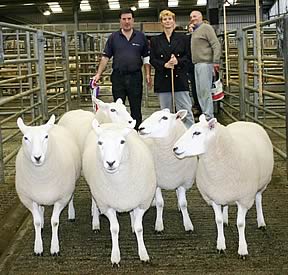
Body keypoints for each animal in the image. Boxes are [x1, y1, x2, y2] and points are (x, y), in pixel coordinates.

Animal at [15, 115, 81, 256]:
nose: (37, 157)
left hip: (71, 185)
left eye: (46, 137)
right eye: (25, 138)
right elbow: (36, 222)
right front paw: (38, 247)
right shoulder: (29, 199)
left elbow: (55, 222)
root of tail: (53, 125)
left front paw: (54, 248)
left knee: (71, 197)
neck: (41, 178)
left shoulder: (61, 198)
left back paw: (71, 214)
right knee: (41, 209)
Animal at [82, 121, 156, 268]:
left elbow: (139, 228)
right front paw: (115, 257)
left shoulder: (142, 202)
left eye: (122, 141)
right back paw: (96, 223)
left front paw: (143, 254)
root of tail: (108, 123)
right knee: (94, 202)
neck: (120, 182)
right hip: (96, 191)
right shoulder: (106, 205)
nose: (110, 163)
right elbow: (115, 229)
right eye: (100, 143)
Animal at [174, 115, 274, 258]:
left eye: (197, 133)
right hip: (225, 192)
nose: (174, 148)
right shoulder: (214, 197)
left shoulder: (244, 199)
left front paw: (242, 249)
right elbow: (218, 221)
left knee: (259, 199)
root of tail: (246, 121)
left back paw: (261, 222)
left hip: (261, 185)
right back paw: (227, 219)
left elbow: (240, 224)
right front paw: (221, 245)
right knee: (226, 205)